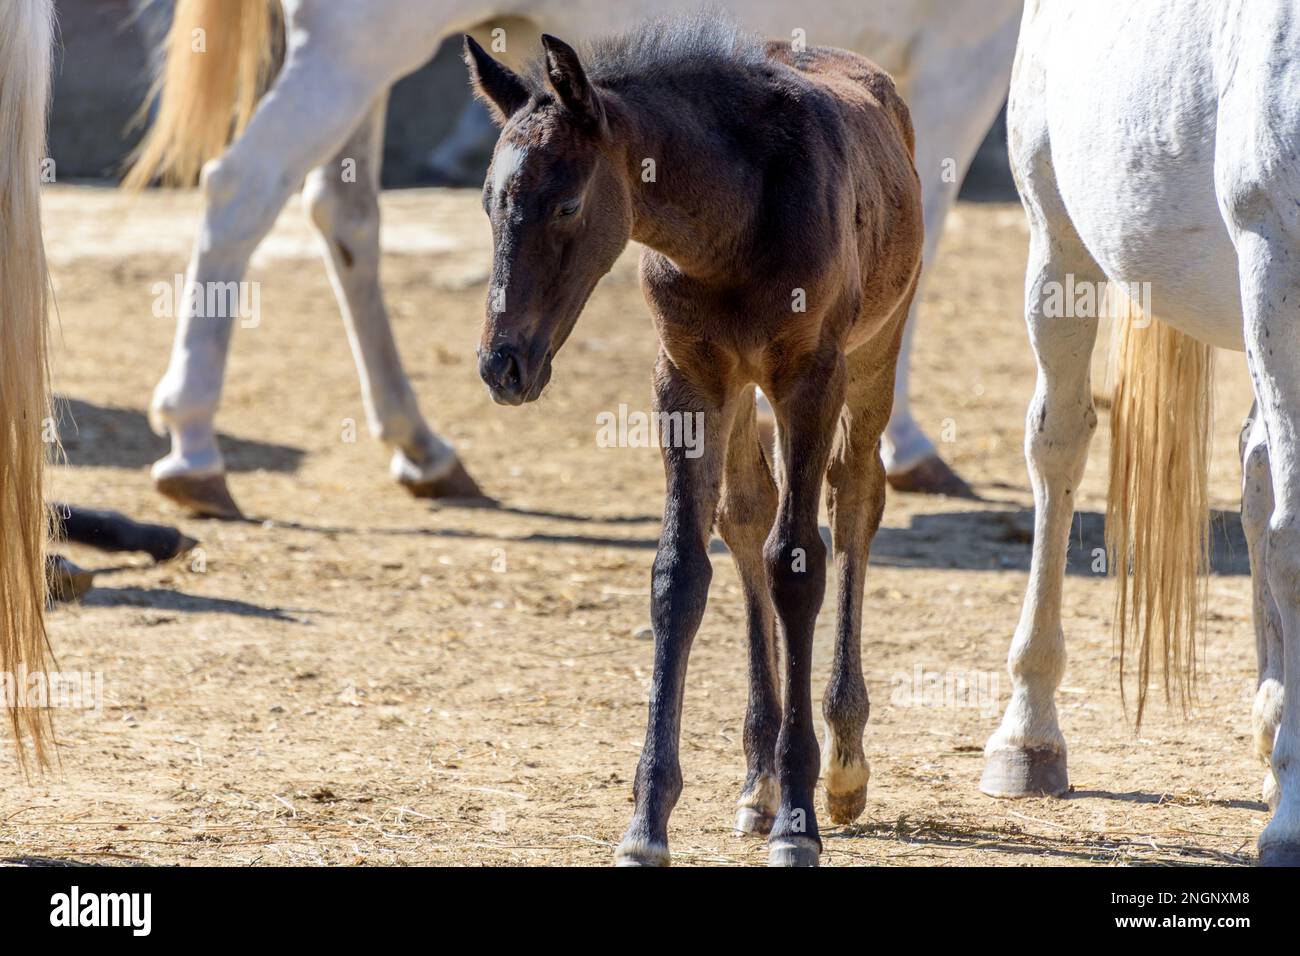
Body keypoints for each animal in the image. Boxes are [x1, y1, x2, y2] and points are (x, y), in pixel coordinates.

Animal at [127, 0, 1020, 519]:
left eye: (564, 208)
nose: (504, 366)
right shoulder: (967, 56)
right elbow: (926, 239)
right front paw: (908, 443)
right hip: (355, 48)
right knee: (243, 186)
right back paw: (194, 444)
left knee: (342, 212)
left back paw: (422, 446)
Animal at [465, 17, 923, 866]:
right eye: (486, 204)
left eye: (567, 203)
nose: (502, 364)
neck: (736, 219)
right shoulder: (685, 377)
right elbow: (679, 575)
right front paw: (648, 823)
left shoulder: (812, 375)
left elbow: (797, 563)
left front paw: (799, 822)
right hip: (740, 388)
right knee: (746, 511)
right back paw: (757, 781)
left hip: (877, 347)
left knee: (854, 500)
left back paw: (844, 764)